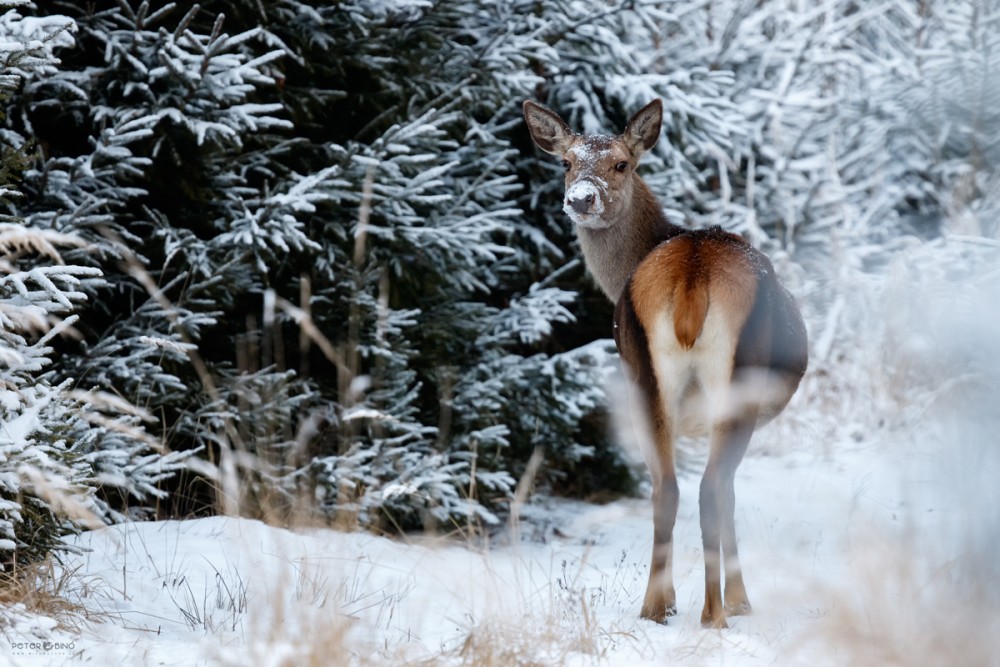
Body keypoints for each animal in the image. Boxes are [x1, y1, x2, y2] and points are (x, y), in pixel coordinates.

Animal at [520, 96, 808, 628]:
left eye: (621, 164)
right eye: (566, 163)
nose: (581, 200)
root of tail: (693, 275)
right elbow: (729, 495)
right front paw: (742, 601)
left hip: (644, 375)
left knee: (665, 488)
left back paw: (656, 606)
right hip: (737, 377)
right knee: (710, 489)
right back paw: (714, 613)